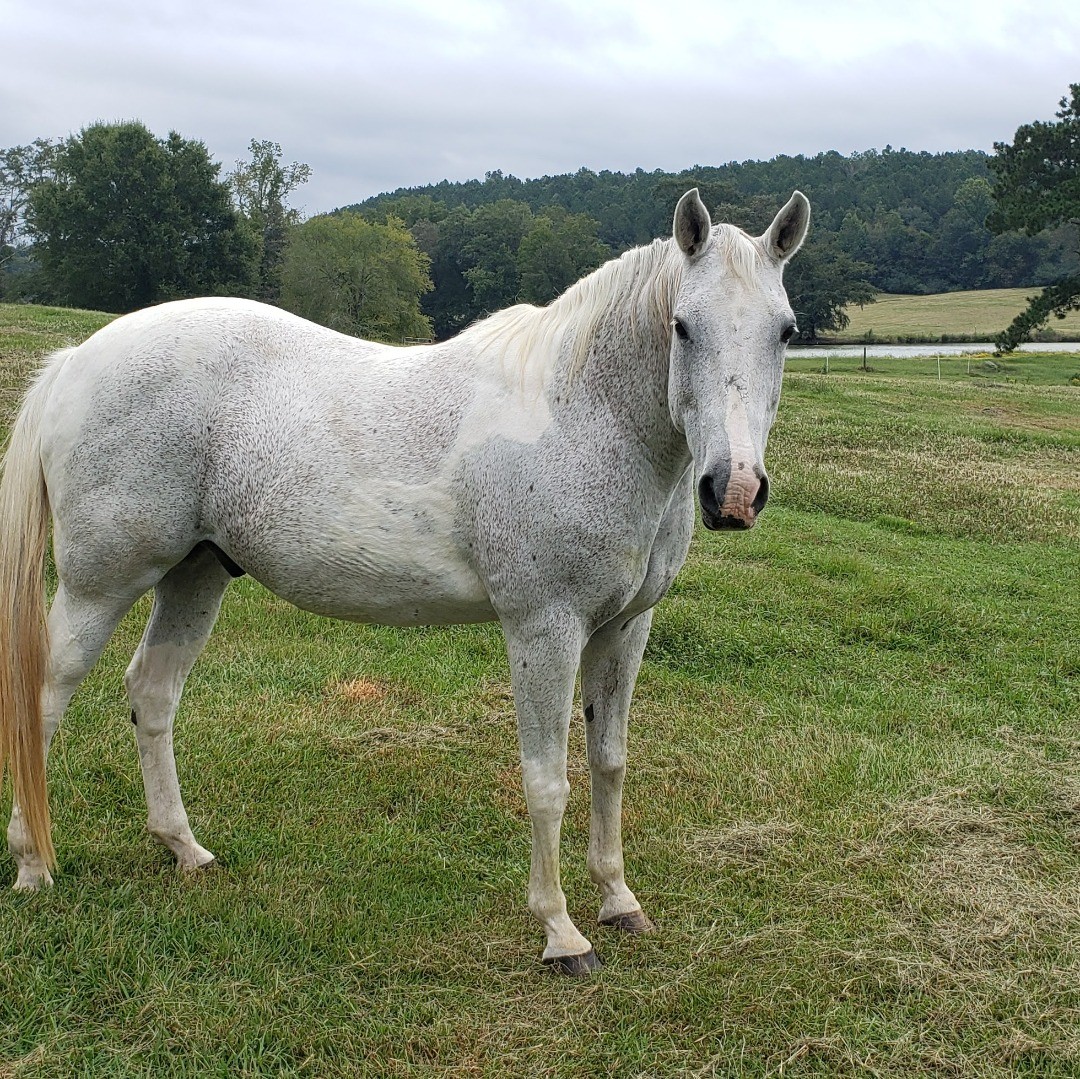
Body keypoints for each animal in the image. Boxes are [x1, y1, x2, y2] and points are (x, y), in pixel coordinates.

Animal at [0, 188, 809, 973]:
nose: (734, 492)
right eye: (682, 327)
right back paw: (34, 864)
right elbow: (546, 780)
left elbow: (608, 763)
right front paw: (561, 933)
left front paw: (618, 900)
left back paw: (183, 848)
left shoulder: (623, 628)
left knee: (152, 692)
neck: (581, 414)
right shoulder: (543, 629)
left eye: (785, 330)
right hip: (100, 585)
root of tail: (76, 360)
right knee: (43, 697)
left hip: (196, 575)